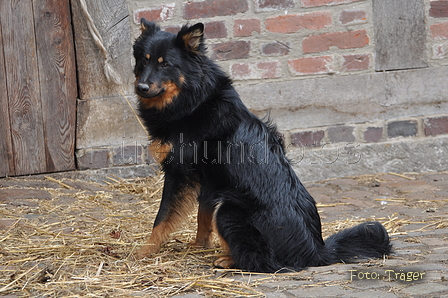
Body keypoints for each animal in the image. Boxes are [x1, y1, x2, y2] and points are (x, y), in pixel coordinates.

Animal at [133, 19, 392, 272]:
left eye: (165, 64)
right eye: (143, 61)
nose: (140, 87)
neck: (193, 100)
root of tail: (316, 252)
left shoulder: (180, 173)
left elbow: (161, 218)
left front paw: (143, 252)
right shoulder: (210, 181)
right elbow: (202, 217)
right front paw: (199, 245)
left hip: (228, 209)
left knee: (262, 260)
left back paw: (229, 260)